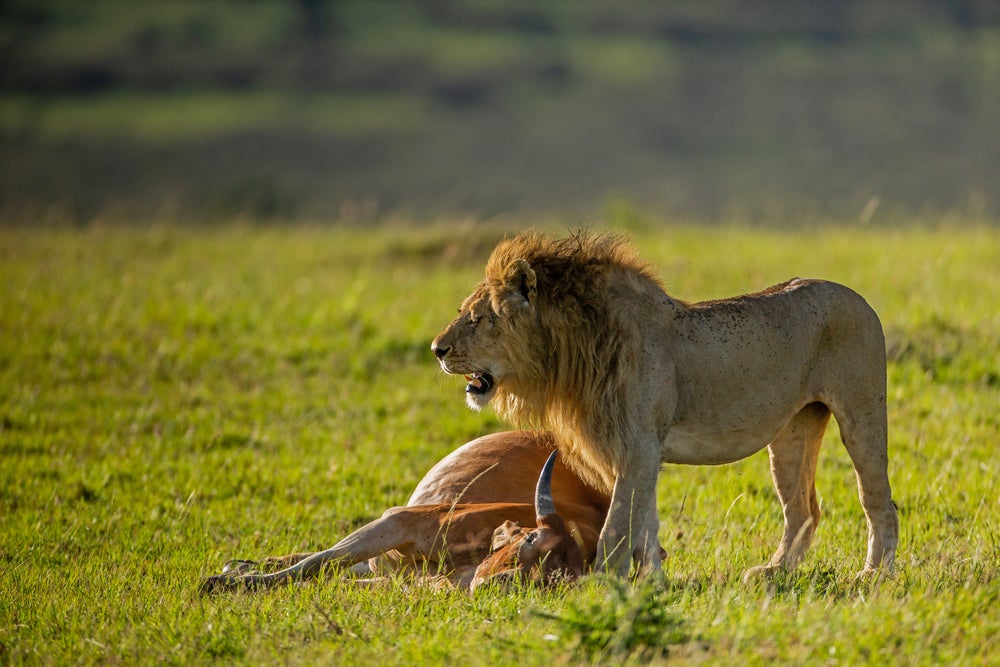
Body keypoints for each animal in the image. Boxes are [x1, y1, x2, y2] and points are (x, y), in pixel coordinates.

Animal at [200, 434, 640, 596]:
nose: (503, 583)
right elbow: (317, 564)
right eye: (531, 540)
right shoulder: (401, 521)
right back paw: (236, 568)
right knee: (318, 557)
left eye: (555, 581)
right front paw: (228, 583)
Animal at [430, 232, 900, 580]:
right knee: (802, 509)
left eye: (477, 318)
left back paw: (874, 575)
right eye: (465, 312)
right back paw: (773, 572)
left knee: (878, 500)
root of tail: (858, 297)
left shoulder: (637, 448)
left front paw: (603, 585)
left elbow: (617, 528)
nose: (437, 349)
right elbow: (645, 525)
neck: (571, 351)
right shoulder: (635, 452)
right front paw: (652, 582)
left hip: (861, 412)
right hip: (793, 430)